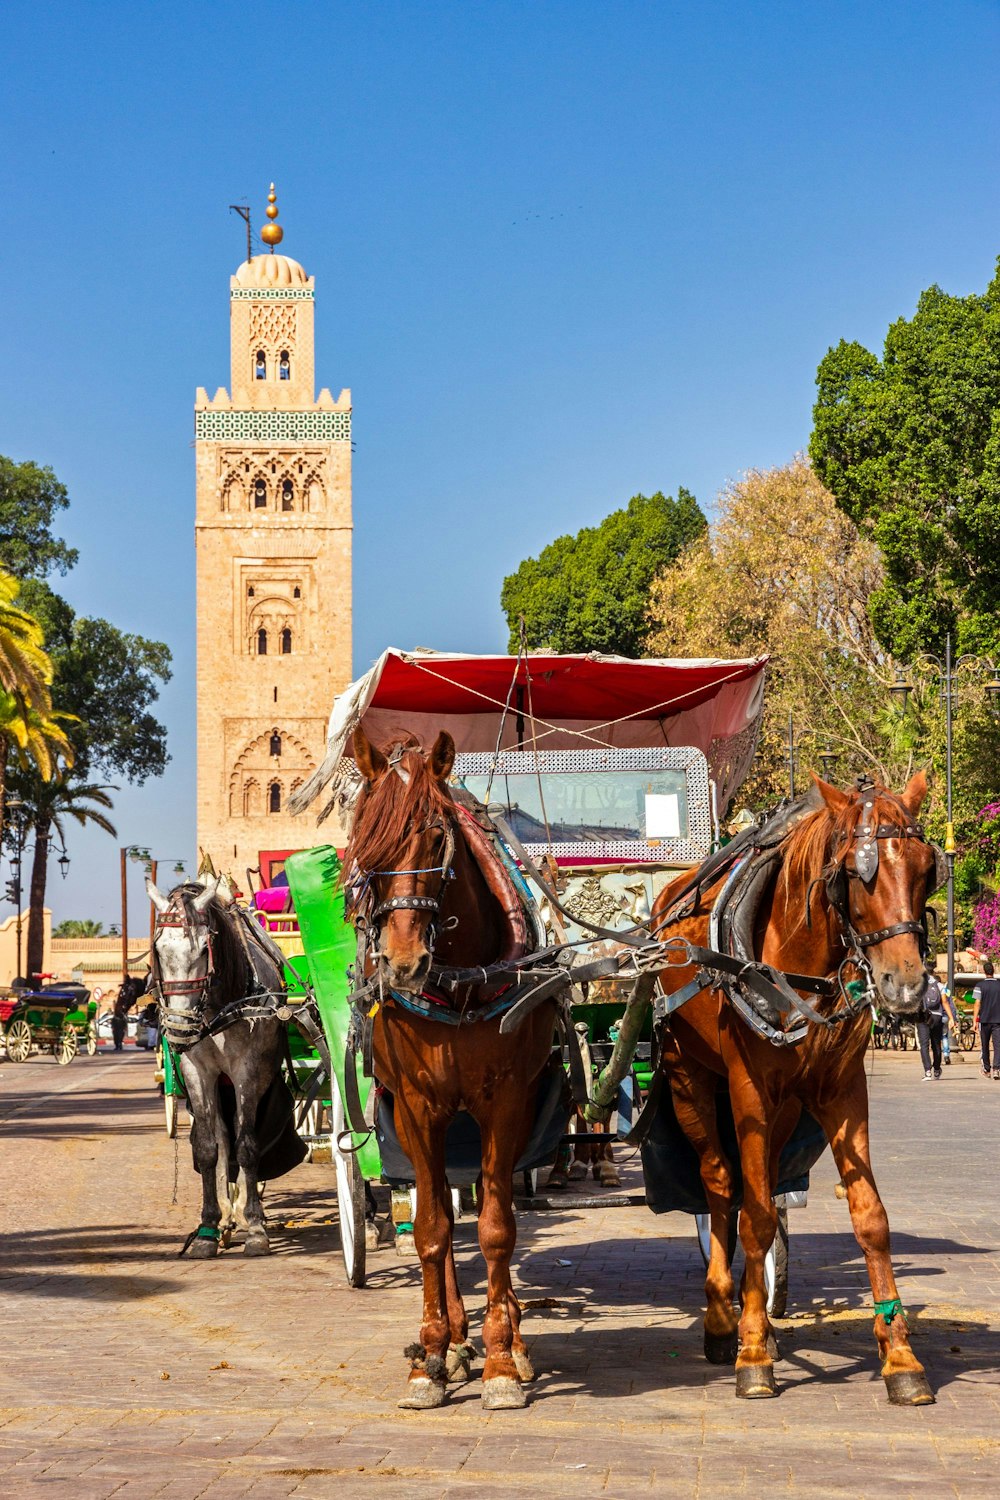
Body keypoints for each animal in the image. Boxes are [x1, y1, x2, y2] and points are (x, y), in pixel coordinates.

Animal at [146, 876, 303, 1257]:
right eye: (158, 950)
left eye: (205, 950)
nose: (179, 1028)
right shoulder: (196, 1071)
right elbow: (207, 1148)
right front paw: (207, 1229)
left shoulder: (248, 1071)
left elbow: (247, 1146)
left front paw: (257, 1227)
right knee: (221, 1137)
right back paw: (227, 1216)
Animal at [346, 726, 560, 1411]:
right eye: (363, 837)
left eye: (438, 837)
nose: (402, 961)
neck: (460, 982)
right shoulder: (417, 1107)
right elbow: (433, 1230)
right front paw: (434, 1358)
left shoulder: (508, 1102)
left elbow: (496, 1228)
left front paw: (500, 1360)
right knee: (438, 1209)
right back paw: (451, 1342)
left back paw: (506, 1337)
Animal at [648, 771, 937, 1404]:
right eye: (855, 872)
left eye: (928, 869)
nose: (906, 987)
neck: (801, 976)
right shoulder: (750, 1089)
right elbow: (755, 1217)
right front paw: (753, 1351)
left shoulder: (842, 1092)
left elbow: (870, 1218)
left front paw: (901, 1356)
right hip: (690, 1079)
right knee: (721, 1185)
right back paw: (723, 1320)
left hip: (781, 1110)